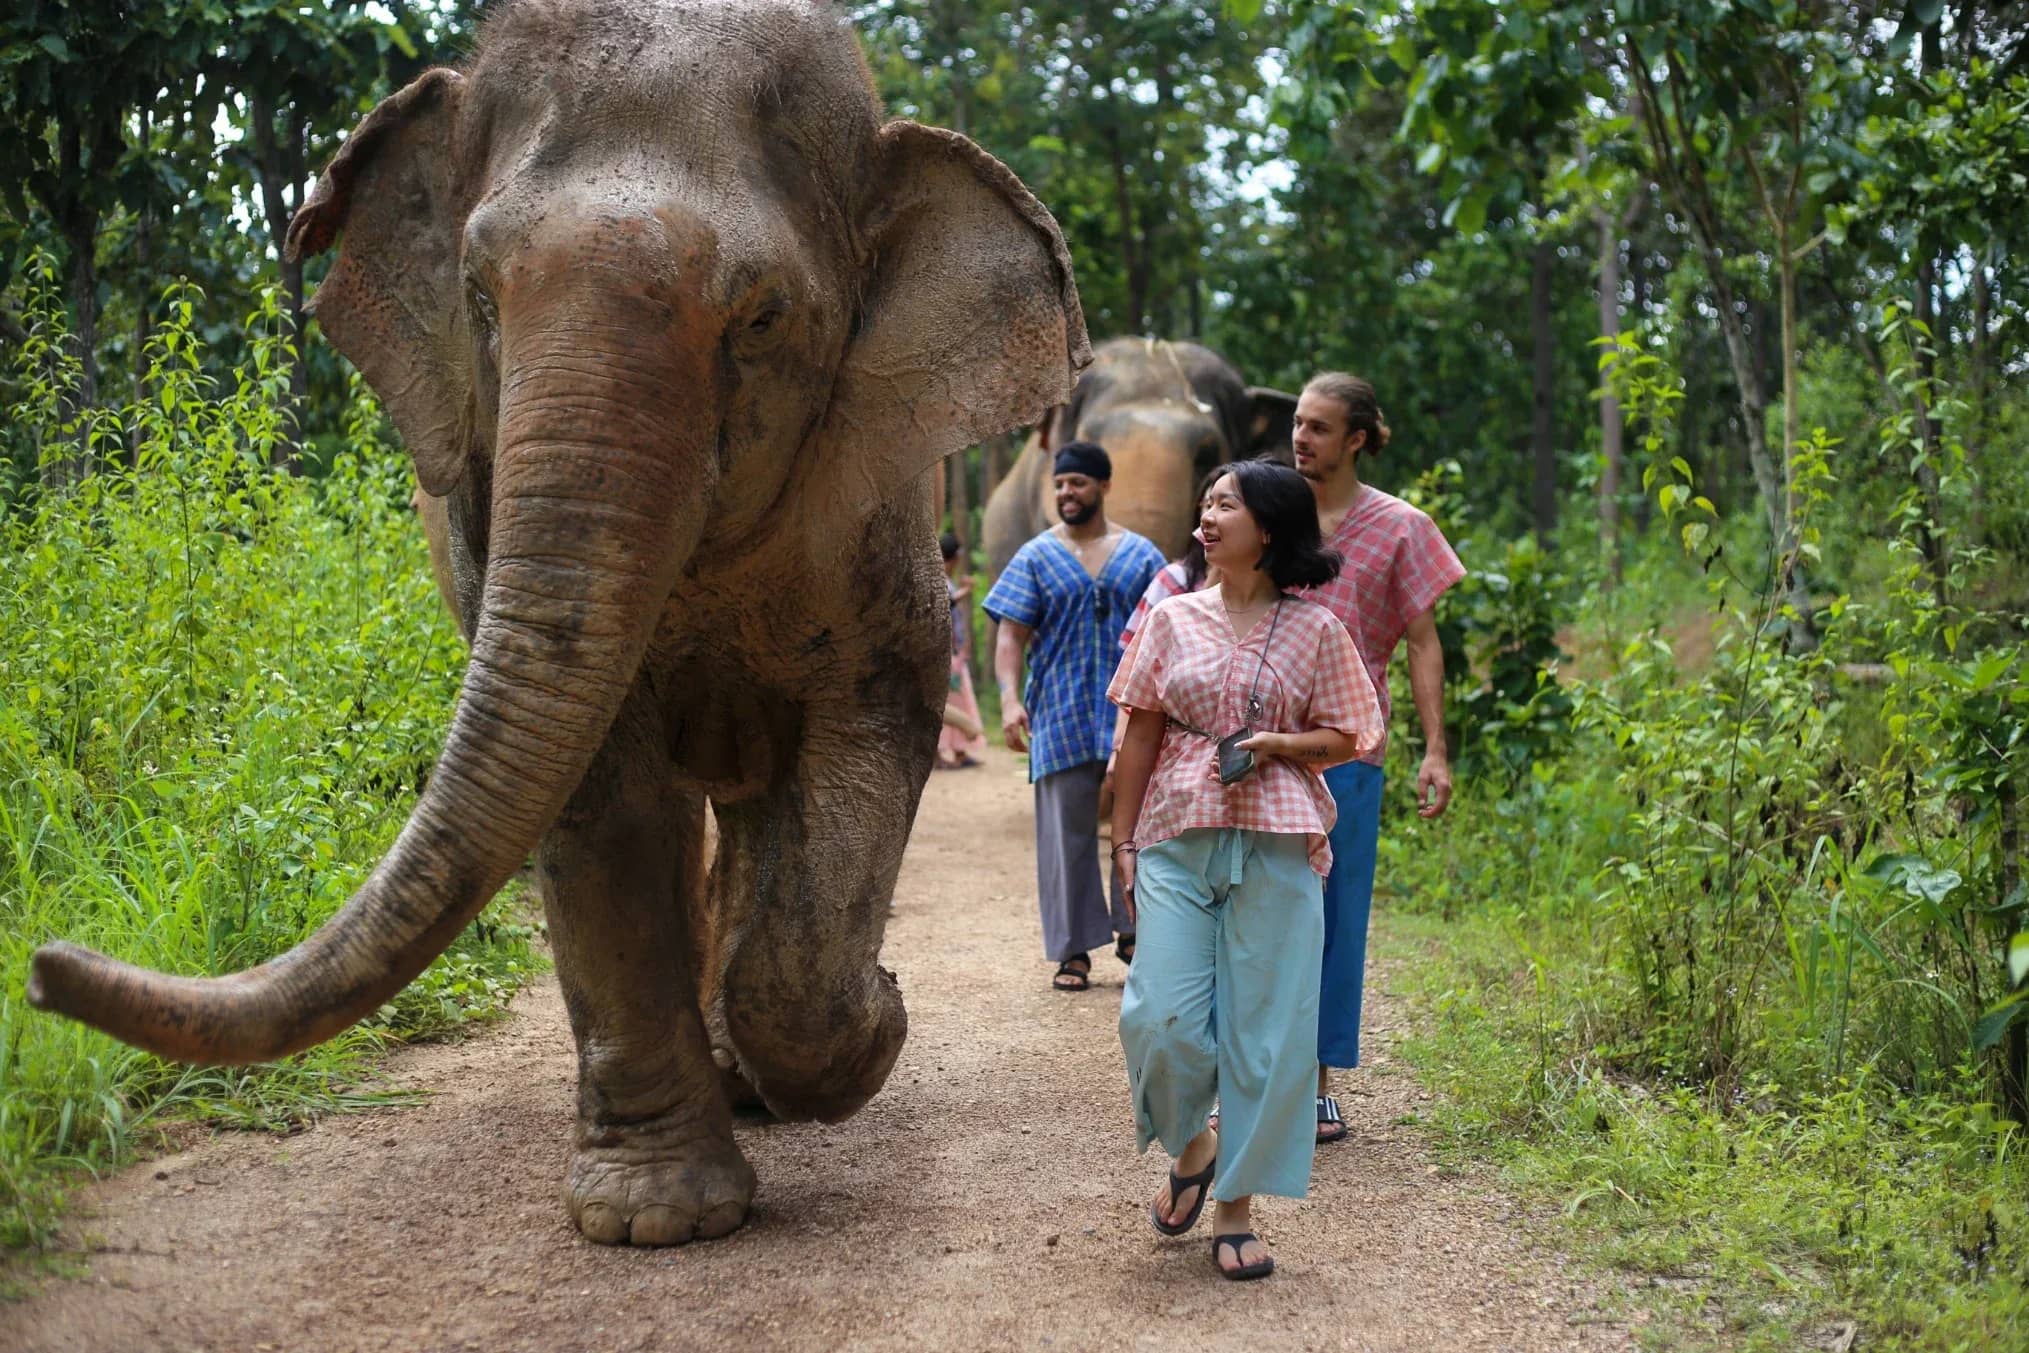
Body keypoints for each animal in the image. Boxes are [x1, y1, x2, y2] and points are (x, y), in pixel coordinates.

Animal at [28, 0, 1087, 1248]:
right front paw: (653, 1223)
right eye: (481, 299)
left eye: (762, 318)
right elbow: (593, 788)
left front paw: (867, 1025)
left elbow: (877, 714)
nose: (40, 971)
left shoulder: (874, 512)